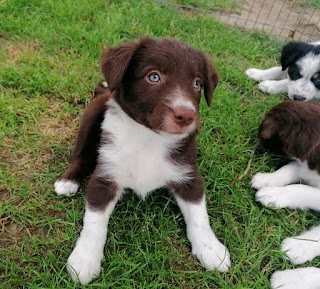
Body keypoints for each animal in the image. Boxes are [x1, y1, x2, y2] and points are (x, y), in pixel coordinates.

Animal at [54, 36, 230, 284]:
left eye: (197, 83)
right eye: (153, 77)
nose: (187, 116)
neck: (149, 138)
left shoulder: (188, 176)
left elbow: (199, 216)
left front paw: (212, 250)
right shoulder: (105, 175)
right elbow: (94, 220)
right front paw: (84, 258)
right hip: (91, 115)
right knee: (80, 156)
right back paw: (68, 181)